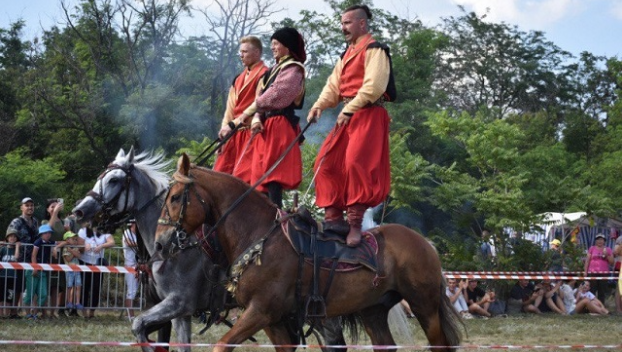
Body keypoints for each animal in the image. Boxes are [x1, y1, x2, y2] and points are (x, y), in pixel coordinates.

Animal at [156, 154, 464, 352]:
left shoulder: (260, 311)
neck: (258, 236)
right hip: (373, 311)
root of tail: (425, 244)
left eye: (175, 197)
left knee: (440, 345)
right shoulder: (274, 320)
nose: (160, 243)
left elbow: (220, 345)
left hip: (424, 306)